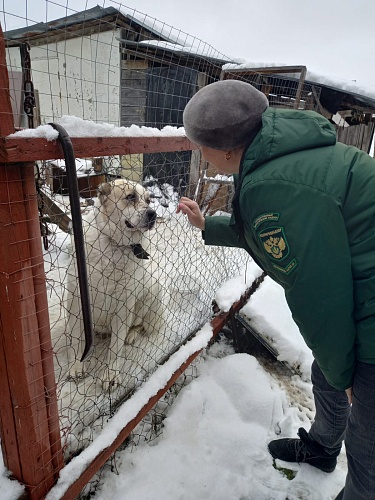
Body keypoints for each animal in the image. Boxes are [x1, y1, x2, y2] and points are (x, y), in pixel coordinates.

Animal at [65, 178, 164, 388]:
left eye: (148, 200)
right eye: (130, 197)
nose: (153, 214)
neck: (114, 245)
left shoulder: (123, 306)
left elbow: (115, 347)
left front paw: (110, 374)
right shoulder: (77, 302)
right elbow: (77, 340)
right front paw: (76, 367)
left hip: (152, 289)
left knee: (138, 324)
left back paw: (130, 334)